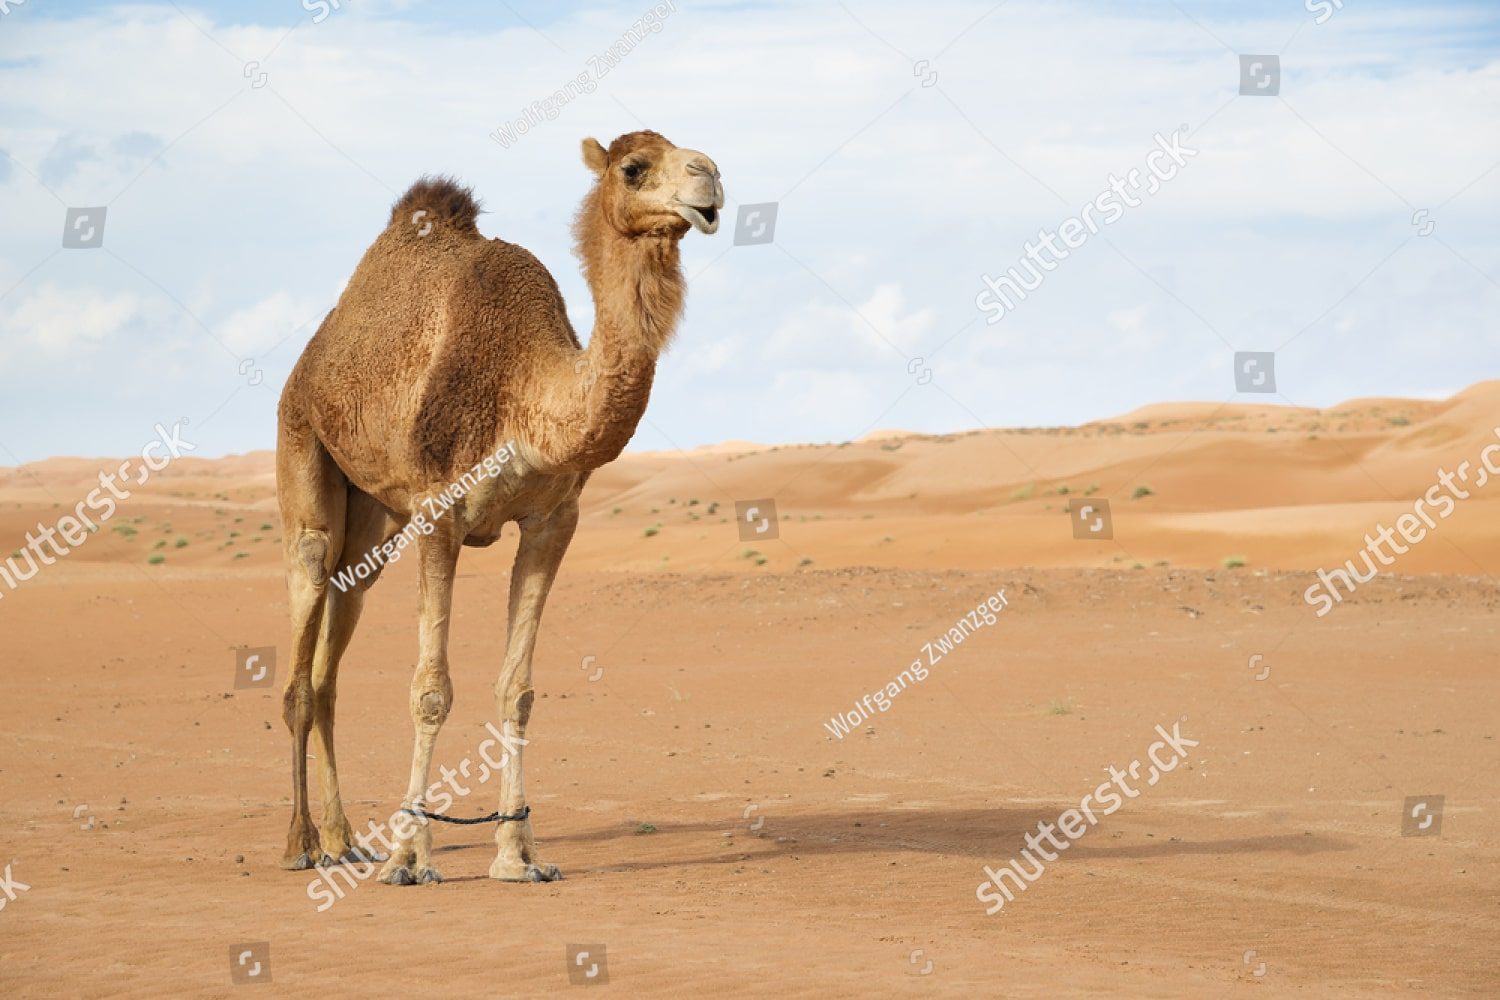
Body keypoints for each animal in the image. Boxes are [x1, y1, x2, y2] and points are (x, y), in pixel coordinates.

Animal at [274, 130, 722, 884]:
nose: (710, 178)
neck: (525, 392)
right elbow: (431, 689)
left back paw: (342, 838)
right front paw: (410, 856)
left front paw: (520, 854)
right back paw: (302, 843)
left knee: (337, 638)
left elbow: (518, 690)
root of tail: (310, 361)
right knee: (302, 652)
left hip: (375, 521)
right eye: (634, 168)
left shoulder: (554, 520)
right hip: (303, 444)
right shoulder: (438, 512)